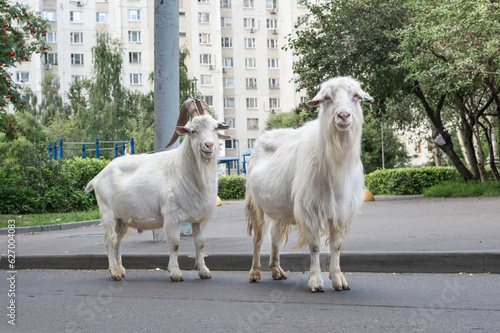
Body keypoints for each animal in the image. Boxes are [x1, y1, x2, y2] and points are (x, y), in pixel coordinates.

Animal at [85, 98, 229, 280]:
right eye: (192, 130)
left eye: (215, 127)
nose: (208, 145)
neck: (182, 170)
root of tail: (98, 177)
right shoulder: (171, 217)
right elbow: (175, 244)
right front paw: (175, 273)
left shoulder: (200, 219)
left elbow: (200, 243)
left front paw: (204, 271)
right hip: (107, 214)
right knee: (109, 240)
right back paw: (115, 273)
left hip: (121, 220)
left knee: (117, 241)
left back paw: (120, 270)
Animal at [248, 75, 374, 290]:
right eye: (327, 98)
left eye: (356, 96)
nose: (343, 116)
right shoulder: (309, 209)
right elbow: (315, 246)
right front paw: (316, 281)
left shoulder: (340, 211)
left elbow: (336, 246)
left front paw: (338, 279)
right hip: (255, 205)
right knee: (257, 239)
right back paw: (255, 273)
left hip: (280, 208)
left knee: (274, 236)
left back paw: (276, 270)